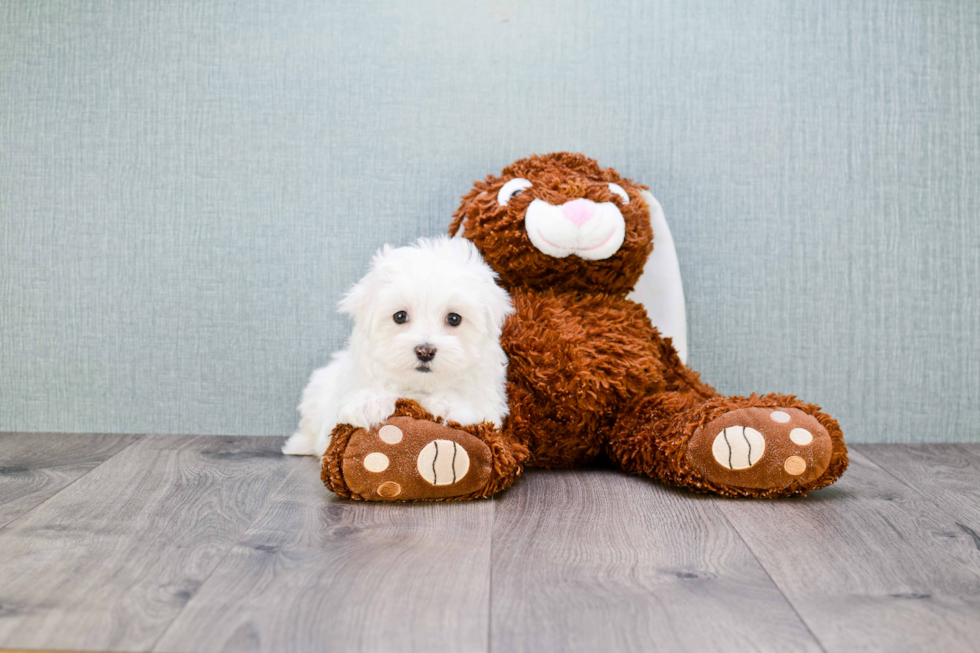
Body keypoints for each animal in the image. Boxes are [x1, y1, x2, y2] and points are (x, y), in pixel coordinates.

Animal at [282, 237, 512, 456]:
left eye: (454, 319)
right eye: (400, 316)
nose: (425, 351)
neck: (419, 386)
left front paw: (451, 406)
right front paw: (369, 403)